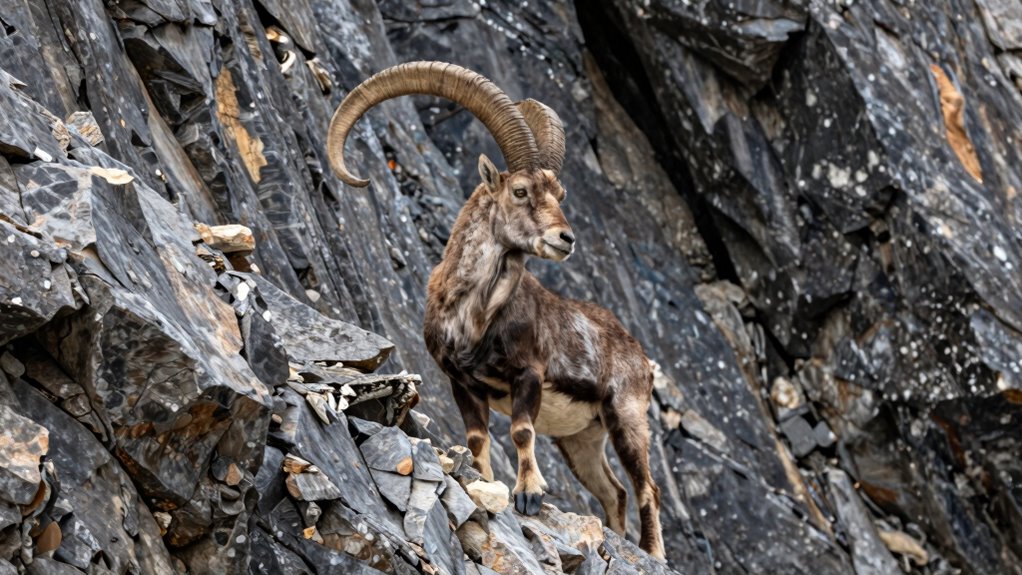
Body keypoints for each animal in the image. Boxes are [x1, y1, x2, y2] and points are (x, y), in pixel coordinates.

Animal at [326, 61, 665, 559]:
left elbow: (521, 431)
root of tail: (640, 355)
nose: (566, 239)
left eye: (560, 192)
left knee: (646, 488)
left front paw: (529, 495)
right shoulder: (463, 384)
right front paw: (487, 488)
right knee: (614, 492)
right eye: (521, 191)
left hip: (626, 416)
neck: (474, 318)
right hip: (581, 439)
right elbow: (477, 441)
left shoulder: (529, 375)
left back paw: (653, 553)